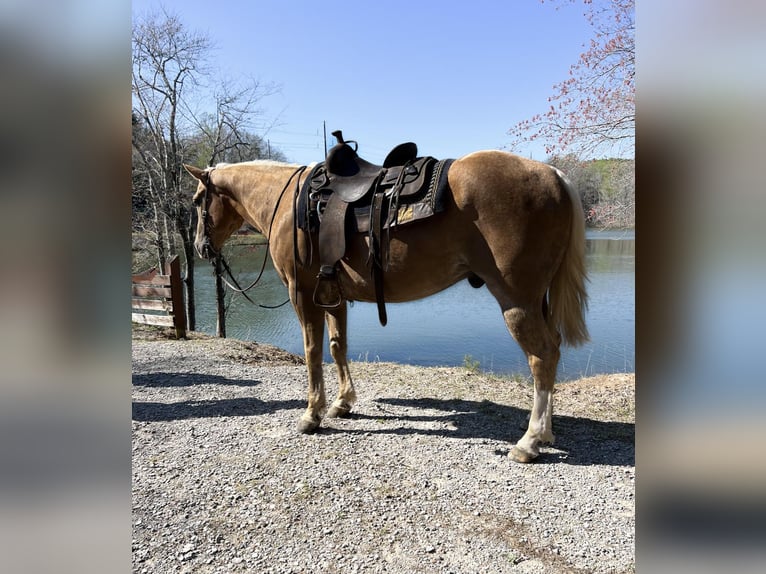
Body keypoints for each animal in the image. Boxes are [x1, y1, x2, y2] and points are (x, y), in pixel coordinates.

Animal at [184, 148, 588, 464]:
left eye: (197, 201)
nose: (201, 247)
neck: (287, 206)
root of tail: (553, 175)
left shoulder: (303, 295)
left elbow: (312, 351)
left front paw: (312, 414)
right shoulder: (332, 295)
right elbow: (338, 346)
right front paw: (342, 403)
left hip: (516, 300)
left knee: (541, 356)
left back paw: (530, 441)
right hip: (536, 300)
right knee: (552, 351)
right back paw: (545, 431)